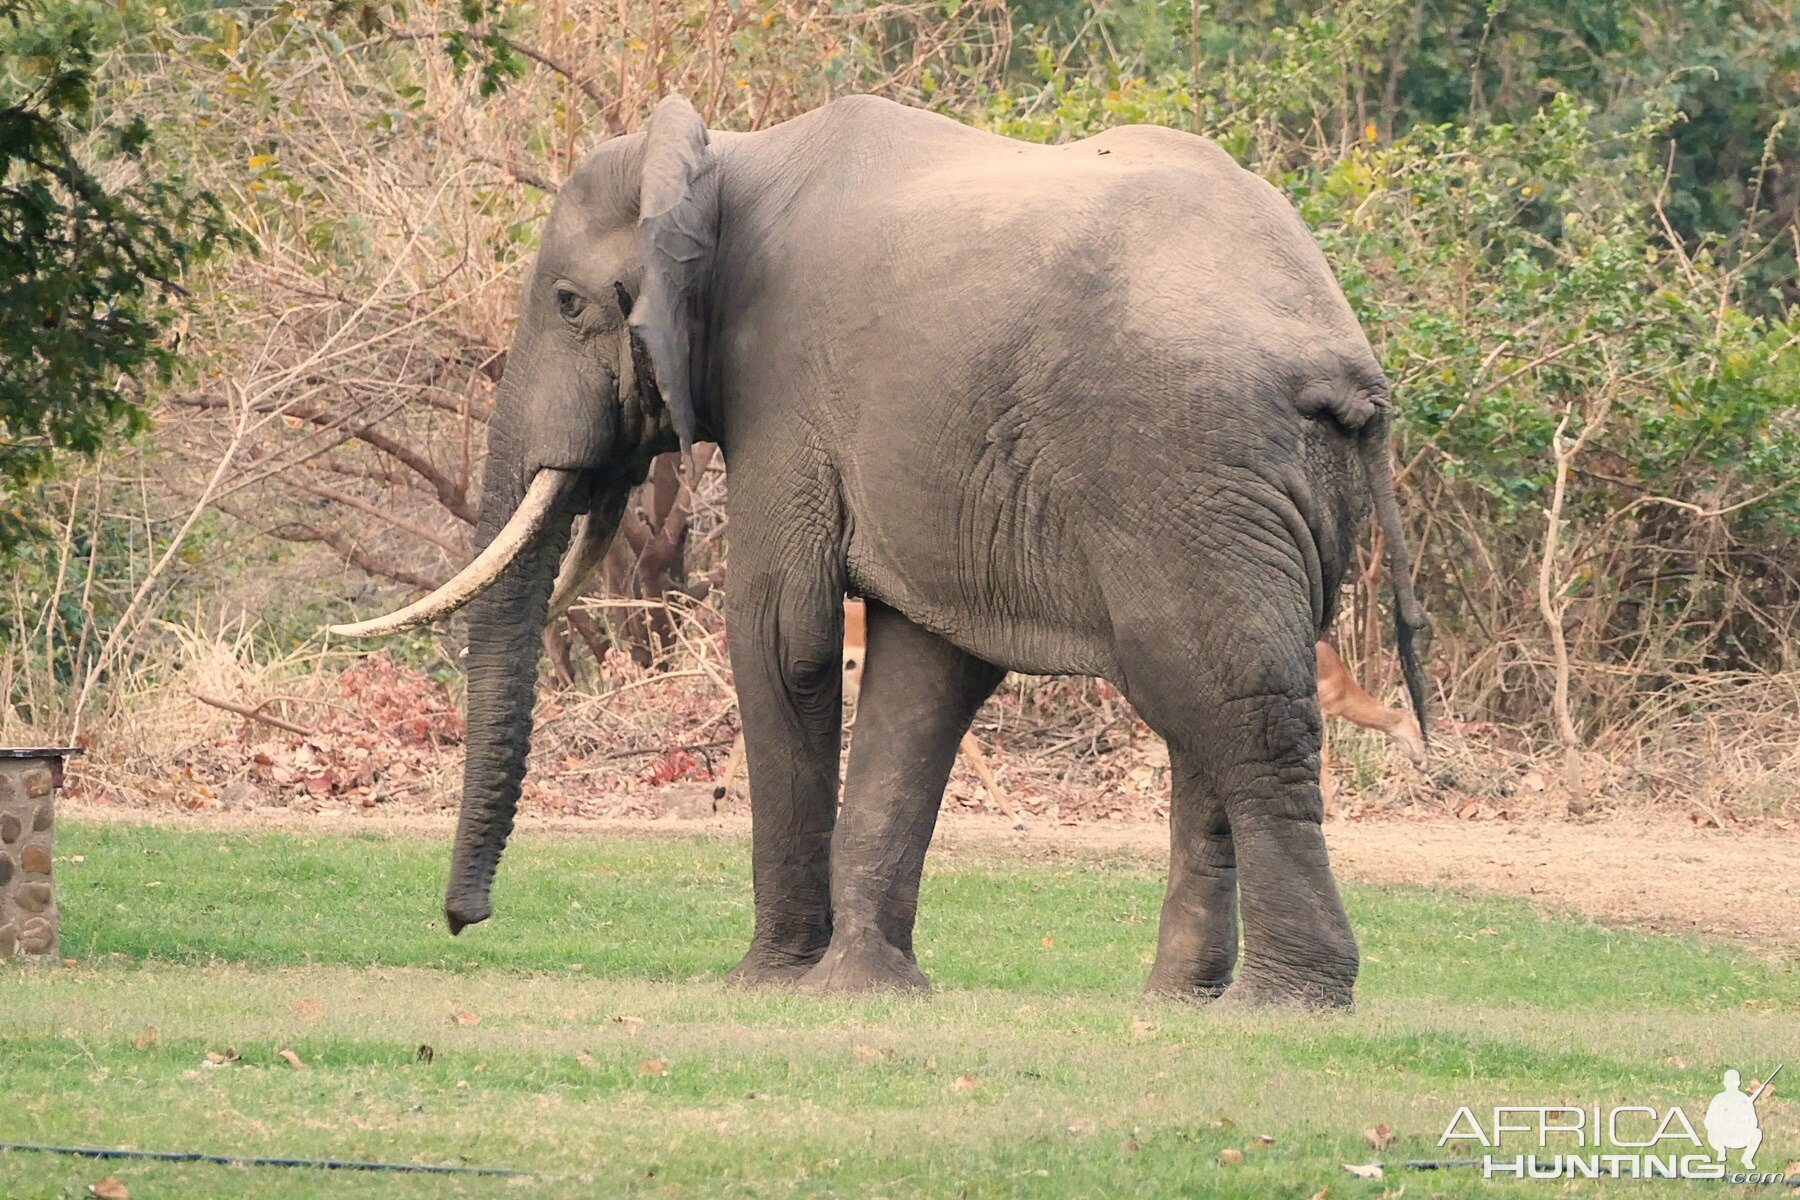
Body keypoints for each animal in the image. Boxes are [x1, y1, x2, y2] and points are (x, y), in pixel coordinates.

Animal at [331, 94, 1425, 1007]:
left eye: (568, 304)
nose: (463, 922)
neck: (726, 157)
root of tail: (1348, 362)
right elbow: (923, 674)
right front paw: (862, 987)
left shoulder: (784, 389)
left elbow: (783, 641)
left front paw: (766, 982)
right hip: (1258, 498)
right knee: (1210, 708)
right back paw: (1177, 1003)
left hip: (1188, 469)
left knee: (1234, 706)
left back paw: (1284, 1004)